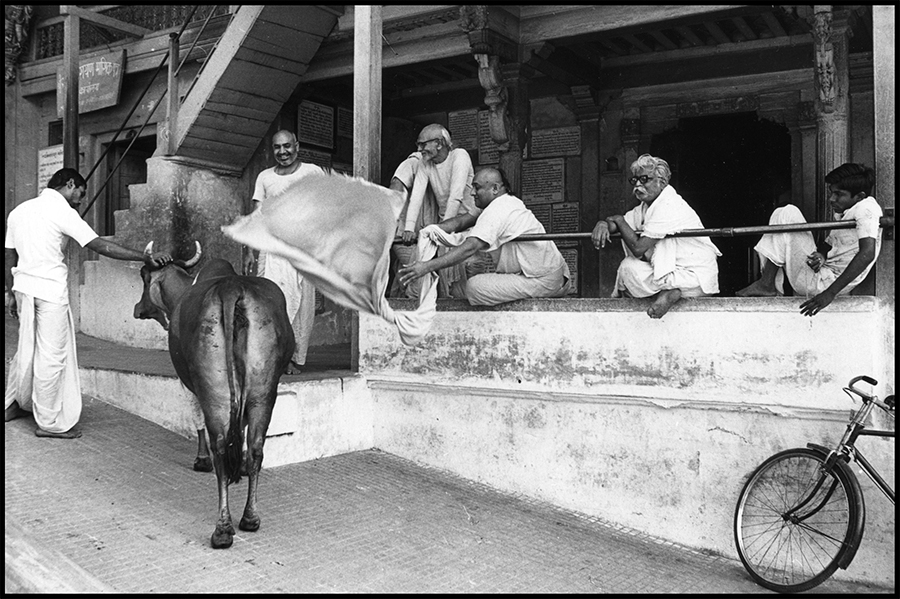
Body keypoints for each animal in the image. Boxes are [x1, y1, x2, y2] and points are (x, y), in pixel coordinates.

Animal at [132, 241, 294, 552]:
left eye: (144, 278)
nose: (137, 308)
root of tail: (232, 289)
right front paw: (239, 465)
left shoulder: (186, 382)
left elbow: (196, 420)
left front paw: (200, 460)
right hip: (263, 391)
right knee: (256, 446)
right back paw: (250, 516)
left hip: (214, 390)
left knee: (219, 445)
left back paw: (223, 529)